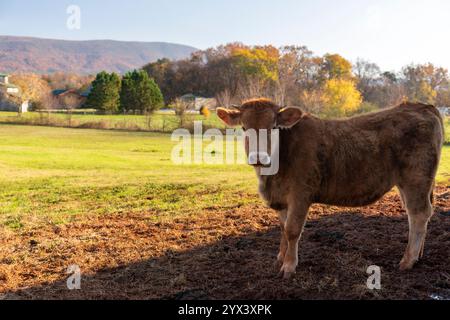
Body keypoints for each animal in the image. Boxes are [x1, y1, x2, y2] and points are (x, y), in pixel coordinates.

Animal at [216, 99, 444, 278]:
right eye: (244, 128)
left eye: (273, 127)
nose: (258, 157)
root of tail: (422, 106)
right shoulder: (282, 199)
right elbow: (282, 228)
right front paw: (280, 258)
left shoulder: (300, 195)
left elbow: (292, 230)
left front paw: (289, 266)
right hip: (408, 184)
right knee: (416, 215)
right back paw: (418, 255)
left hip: (416, 179)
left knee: (419, 214)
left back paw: (408, 260)